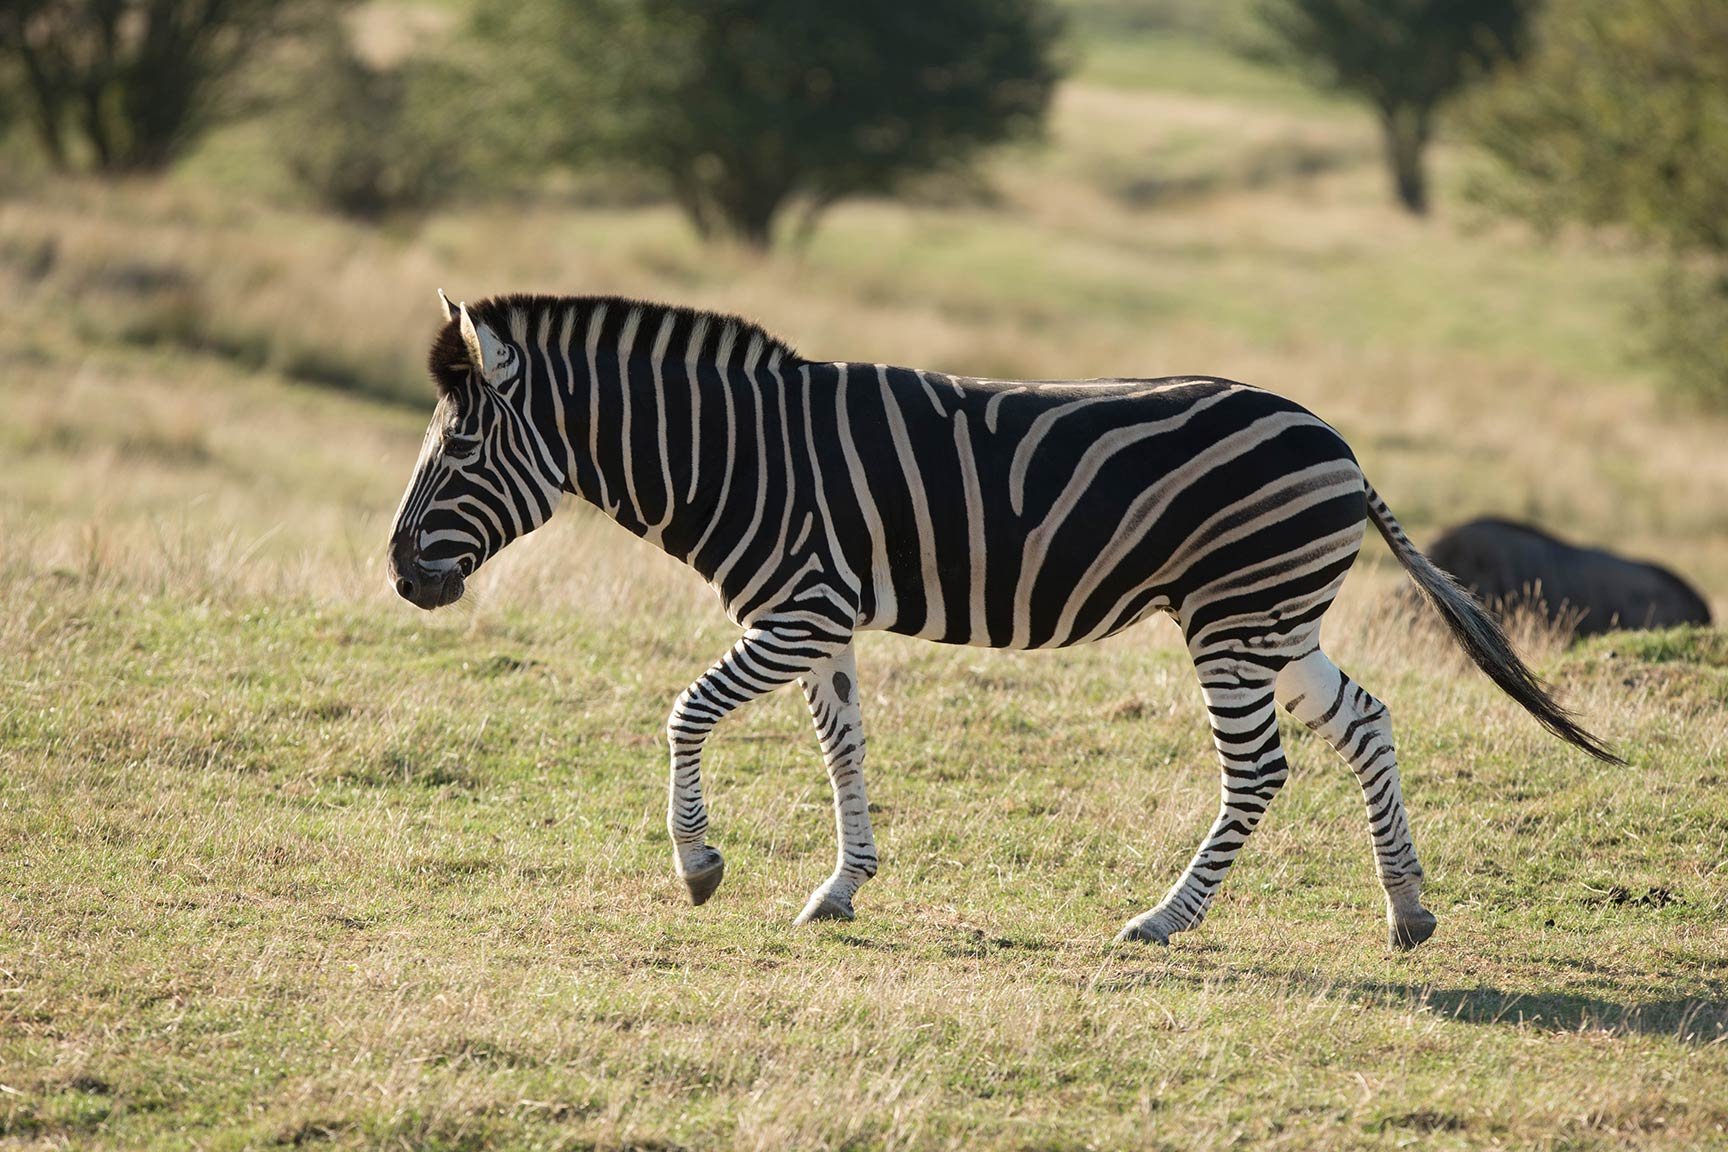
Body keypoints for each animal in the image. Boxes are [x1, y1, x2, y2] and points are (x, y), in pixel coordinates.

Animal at [387, 291, 1620, 949]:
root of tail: (1343, 447)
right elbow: (843, 745)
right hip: (1277, 618)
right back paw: (1406, 910)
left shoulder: (801, 606)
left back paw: (1166, 919)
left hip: (1232, 621)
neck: (733, 455)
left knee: (1261, 769)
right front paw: (842, 885)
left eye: (459, 447)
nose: (400, 576)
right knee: (1364, 720)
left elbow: (686, 711)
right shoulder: (820, 621)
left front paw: (698, 865)